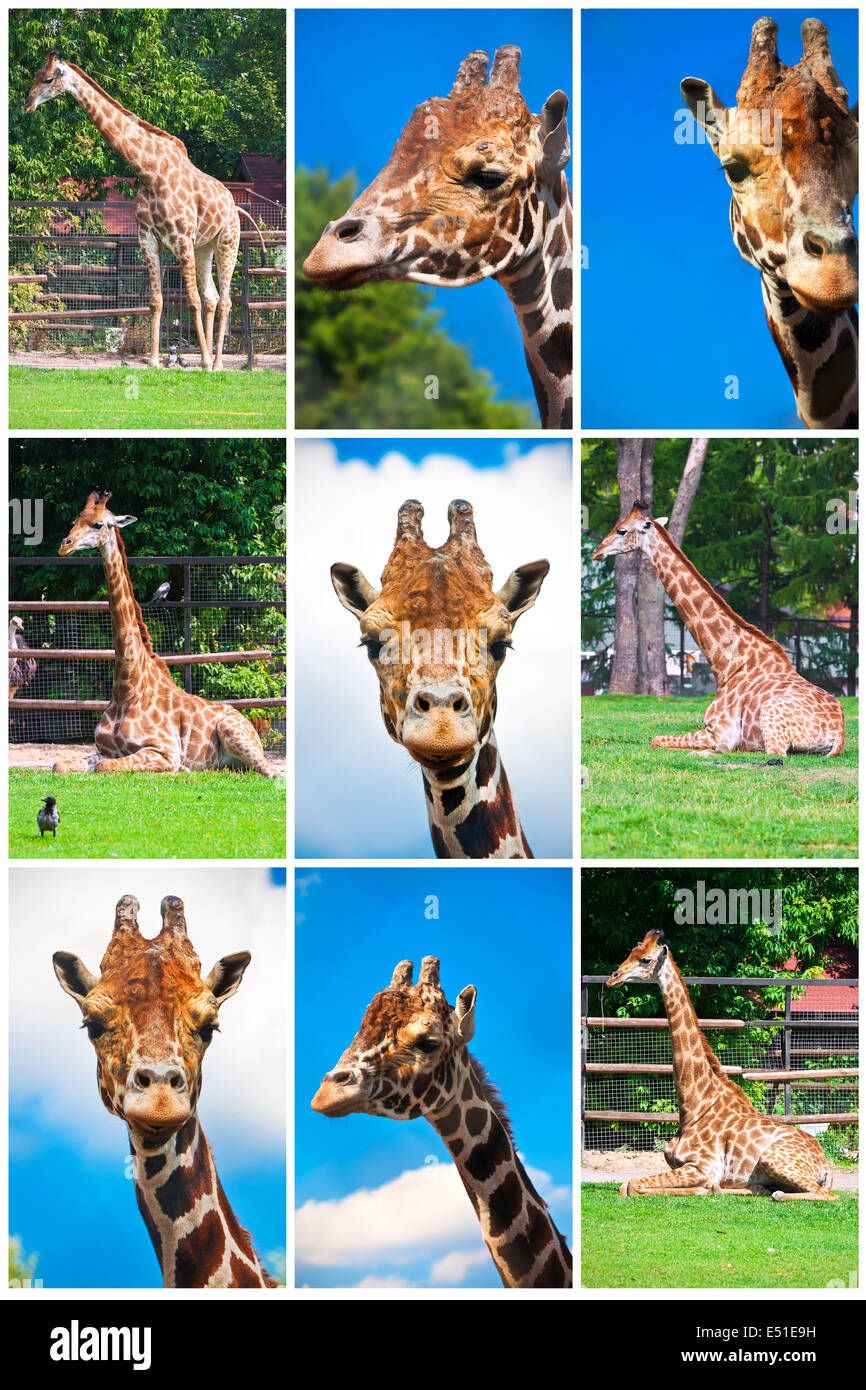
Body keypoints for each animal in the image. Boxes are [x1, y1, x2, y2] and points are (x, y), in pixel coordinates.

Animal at [24, 51, 267, 371]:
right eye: (36, 74)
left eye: (49, 78)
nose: (27, 103)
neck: (149, 172)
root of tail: (236, 204)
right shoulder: (148, 240)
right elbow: (156, 301)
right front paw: (153, 360)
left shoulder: (181, 240)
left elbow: (190, 301)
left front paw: (200, 360)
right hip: (205, 247)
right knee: (212, 297)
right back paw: (211, 360)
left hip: (228, 242)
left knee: (223, 299)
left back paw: (214, 364)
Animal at [52, 491, 278, 776]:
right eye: (75, 520)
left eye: (98, 524)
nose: (65, 545)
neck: (127, 689)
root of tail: (248, 722)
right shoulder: (103, 750)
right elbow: (59, 764)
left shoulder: (166, 753)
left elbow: (105, 767)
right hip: (228, 763)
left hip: (235, 734)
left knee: (271, 772)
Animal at [591, 500, 845, 761]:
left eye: (622, 530)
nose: (596, 552)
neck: (727, 664)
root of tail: (839, 734)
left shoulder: (720, 731)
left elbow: (657, 740)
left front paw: (701, 751)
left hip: (772, 721)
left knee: (772, 754)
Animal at [606, 931, 837, 1200]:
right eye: (630, 953)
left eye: (645, 959)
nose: (613, 978)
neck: (694, 1108)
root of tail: (826, 1165)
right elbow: (625, 1185)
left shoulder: (704, 1167)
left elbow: (632, 1185)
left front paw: (704, 1190)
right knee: (761, 1189)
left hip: (776, 1160)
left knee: (826, 1195)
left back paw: (774, 1193)